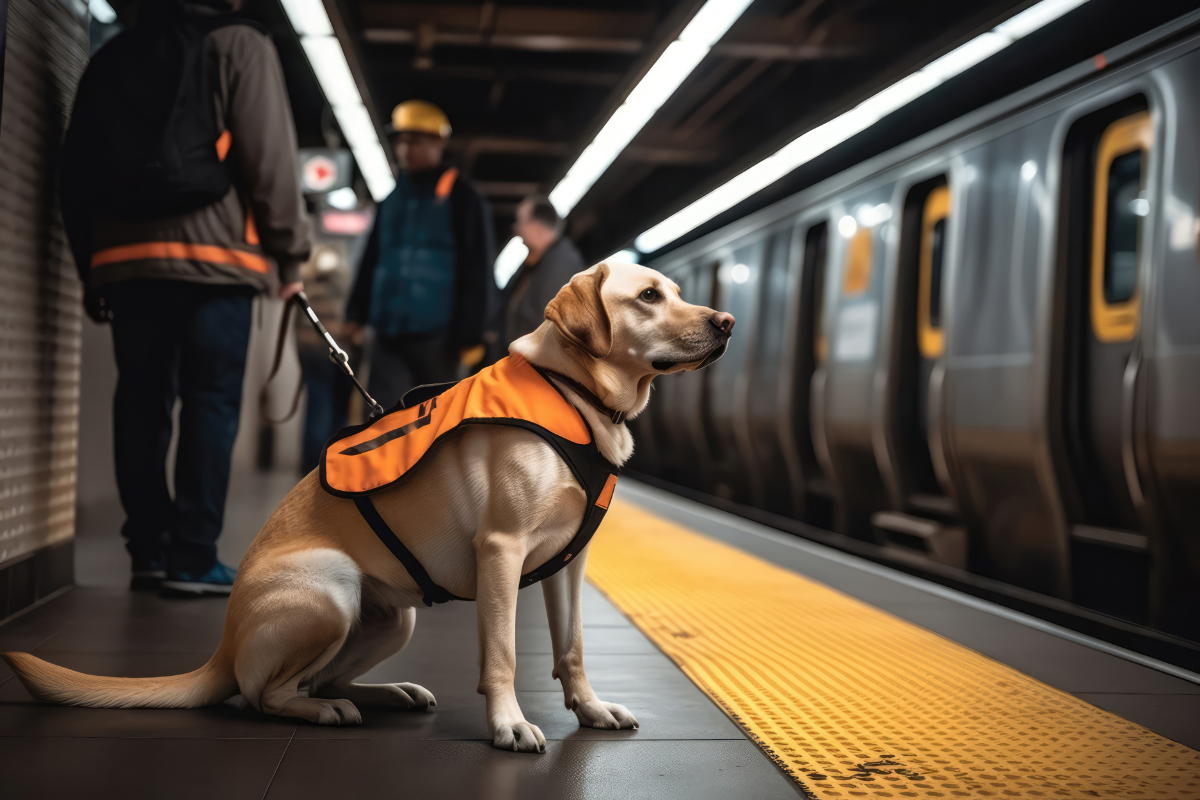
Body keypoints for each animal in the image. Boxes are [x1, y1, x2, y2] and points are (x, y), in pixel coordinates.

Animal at [2, 261, 729, 753]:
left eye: (675, 289)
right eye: (648, 296)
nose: (725, 323)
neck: (574, 392)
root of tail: (223, 646)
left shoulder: (569, 566)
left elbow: (572, 646)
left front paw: (590, 709)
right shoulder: (501, 551)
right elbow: (502, 655)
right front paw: (509, 724)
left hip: (390, 620)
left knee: (316, 681)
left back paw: (390, 693)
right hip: (331, 591)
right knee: (266, 695)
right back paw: (325, 713)